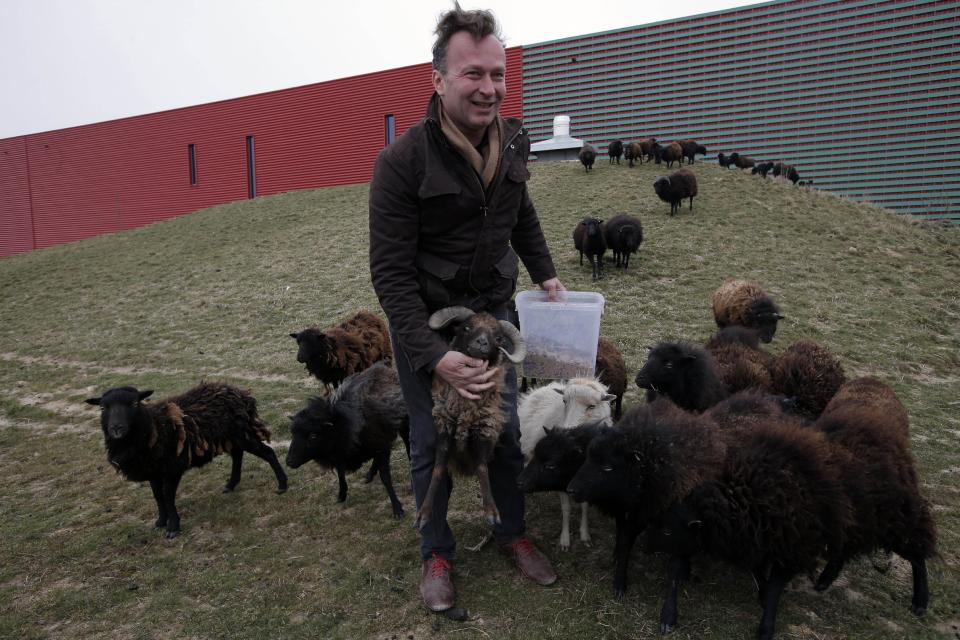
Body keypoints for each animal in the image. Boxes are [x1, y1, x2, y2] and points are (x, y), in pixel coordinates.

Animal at [84, 382, 286, 536]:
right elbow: (157, 496)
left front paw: (173, 527)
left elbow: (168, 495)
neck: (154, 426)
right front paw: (160, 521)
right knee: (238, 454)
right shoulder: (152, 470)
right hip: (232, 436)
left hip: (243, 433)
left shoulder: (173, 467)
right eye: (103, 407)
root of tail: (241, 393)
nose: (116, 428)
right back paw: (231, 484)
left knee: (268, 452)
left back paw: (282, 485)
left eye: (134, 403)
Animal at [284, 362, 406, 516]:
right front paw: (341, 494)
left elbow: (385, 478)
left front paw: (397, 507)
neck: (344, 424)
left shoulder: (381, 446)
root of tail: (384, 367)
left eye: (313, 435)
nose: (289, 461)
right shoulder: (340, 454)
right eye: (292, 434)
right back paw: (369, 474)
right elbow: (341, 474)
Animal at [414, 304, 524, 528]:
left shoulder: (483, 430)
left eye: (498, 338)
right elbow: (437, 469)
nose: (481, 342)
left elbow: (482, 468)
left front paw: (491, 512)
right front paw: (424, 514)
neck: (463, 408)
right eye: (466, 327)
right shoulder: (444, 429)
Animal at [644, 420, 848, 640]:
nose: (646, 549)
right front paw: (668, 615)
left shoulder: (789, 549)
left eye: (666, 531)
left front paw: (766, 625)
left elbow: (774, 587)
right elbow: (674, 572)